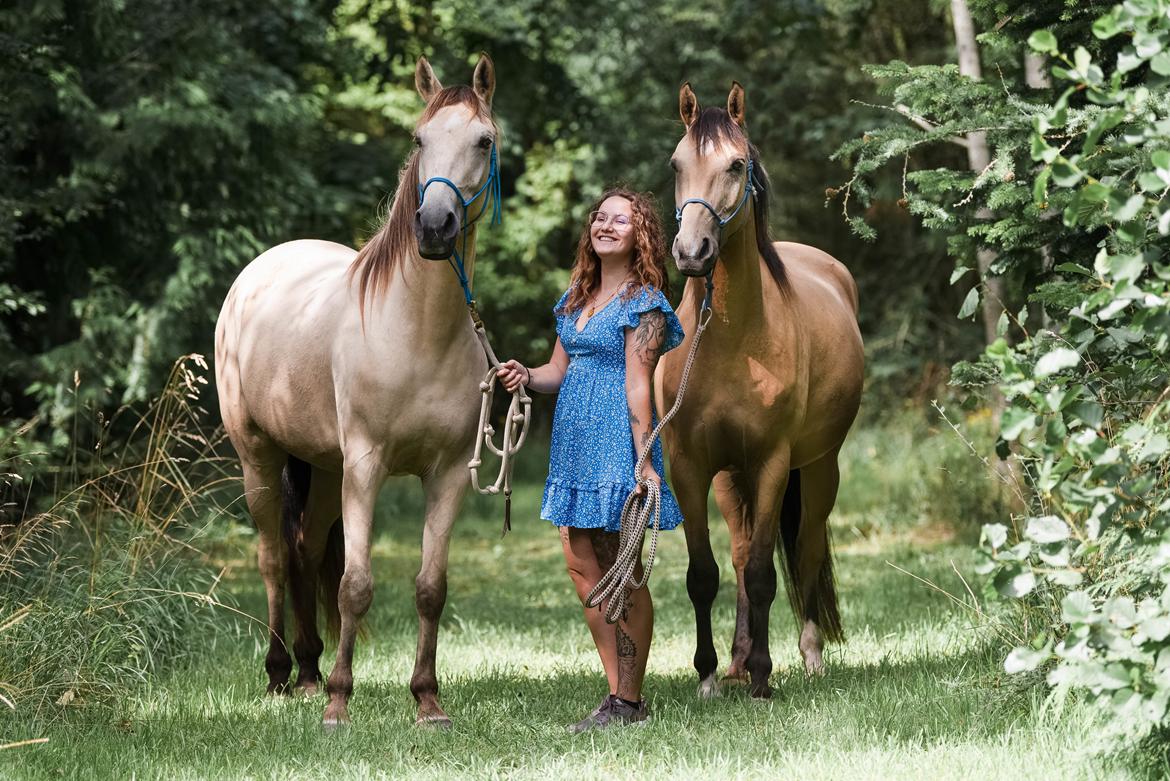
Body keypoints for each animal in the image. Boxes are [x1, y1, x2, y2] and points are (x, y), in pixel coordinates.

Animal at [217, 53, 500, 724]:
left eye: (483, 140)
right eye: (419, 139)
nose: (434, 225)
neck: (416, 334)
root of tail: (259, 272)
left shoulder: (448, 474)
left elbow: (429, 589)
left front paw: (426, 700)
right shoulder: (366, 466)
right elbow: (355, 584)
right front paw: (340, 705)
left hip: (321, 468)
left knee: (304, 548)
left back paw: (309, 671)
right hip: (259, 459)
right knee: (273, 556)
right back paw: (279, 674)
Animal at [659, 82, 870, 696]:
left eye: (735, 164)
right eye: (677, 164)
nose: (692, 252)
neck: (731, 339)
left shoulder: (774, 462)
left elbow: (761, 573)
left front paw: (761, 676)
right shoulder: (689, 465)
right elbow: (705, 574)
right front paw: (709, 675)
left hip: (819, 469)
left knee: (803, 551)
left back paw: (808, 656)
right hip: (732, 479)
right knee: (737, 551)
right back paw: (734, 658)